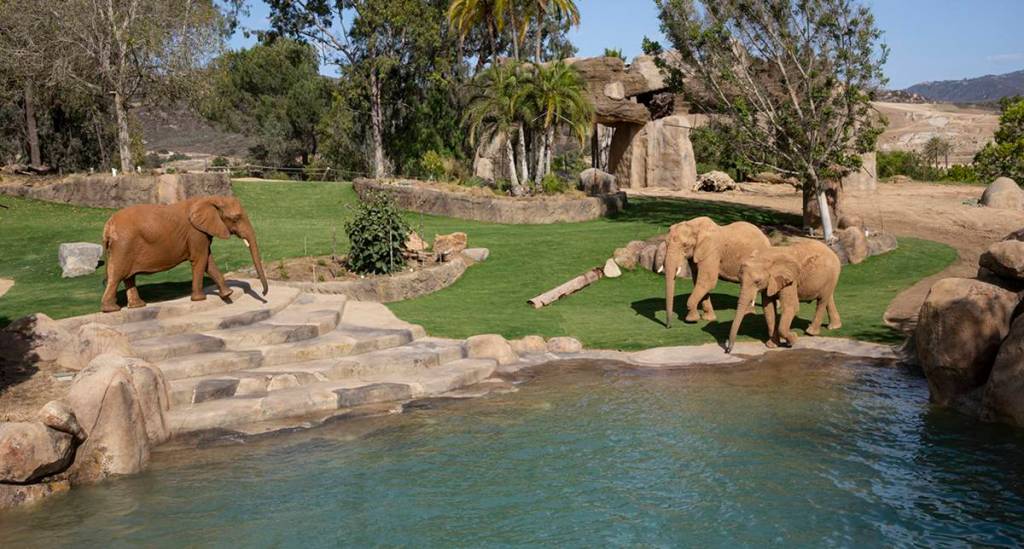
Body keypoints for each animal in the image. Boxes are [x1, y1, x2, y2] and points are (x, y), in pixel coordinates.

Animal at [100, 195, 268, 313]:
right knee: (117, 275)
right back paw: (112, 309)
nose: (264, 295)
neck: (210, 198)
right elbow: (201, 260)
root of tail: (107, 226)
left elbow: (208, 261)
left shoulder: (202, 233)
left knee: (128, 276)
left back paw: (138, 306)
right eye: (236, 218)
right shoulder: (196, 233)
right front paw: (200, 299)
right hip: (123, 245)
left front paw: (227, 294)